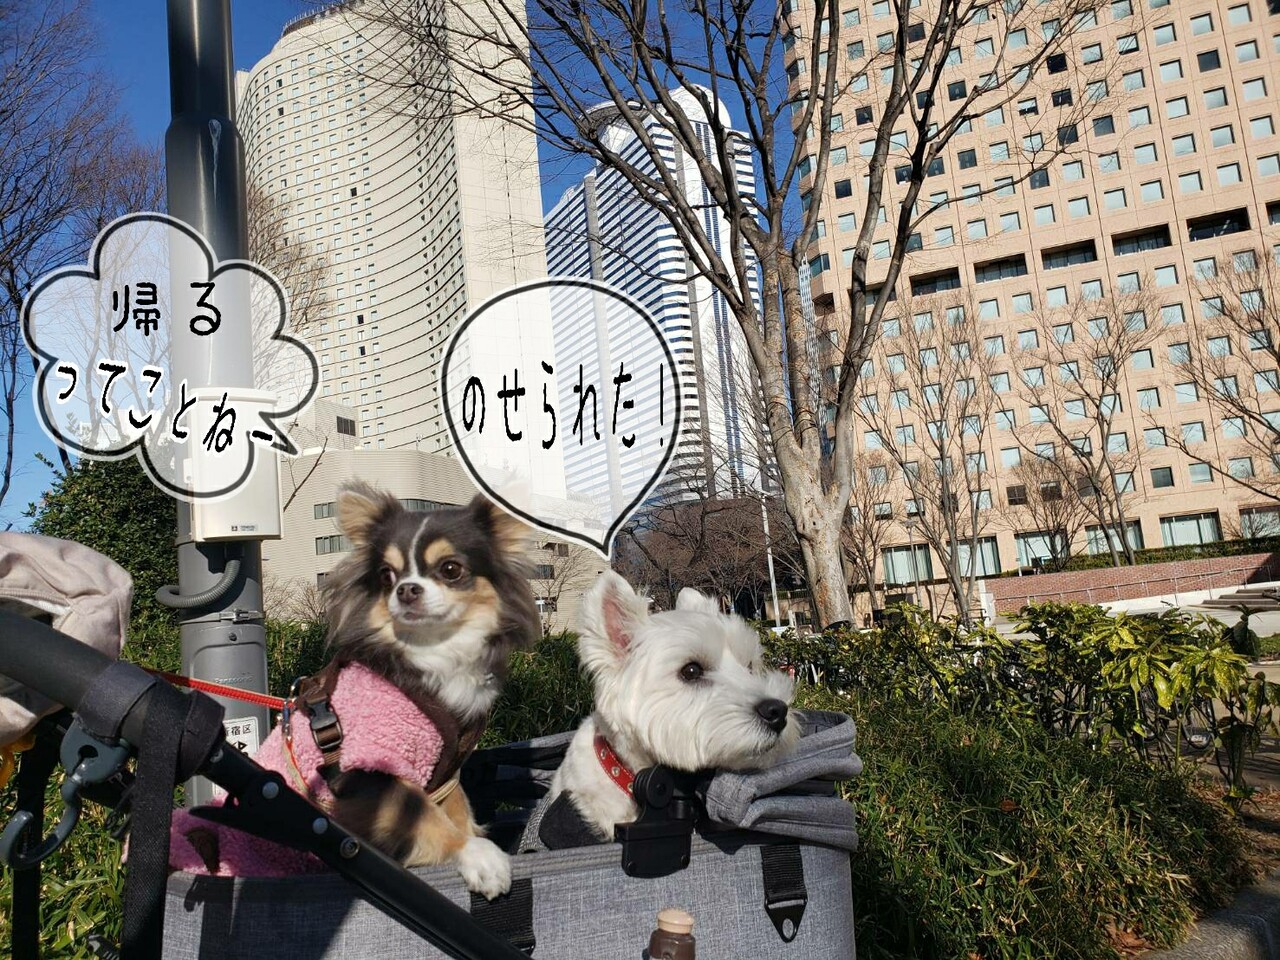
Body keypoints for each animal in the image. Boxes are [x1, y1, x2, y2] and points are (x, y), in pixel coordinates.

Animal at [170, 483, 538, 899]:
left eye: (450, 569)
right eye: (386, 575)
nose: (405, 589)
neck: (432, 656)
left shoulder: (445, 778)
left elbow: (459, 811)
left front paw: (474, 840)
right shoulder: (366, 773)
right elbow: (424, 815)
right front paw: (477, 855)